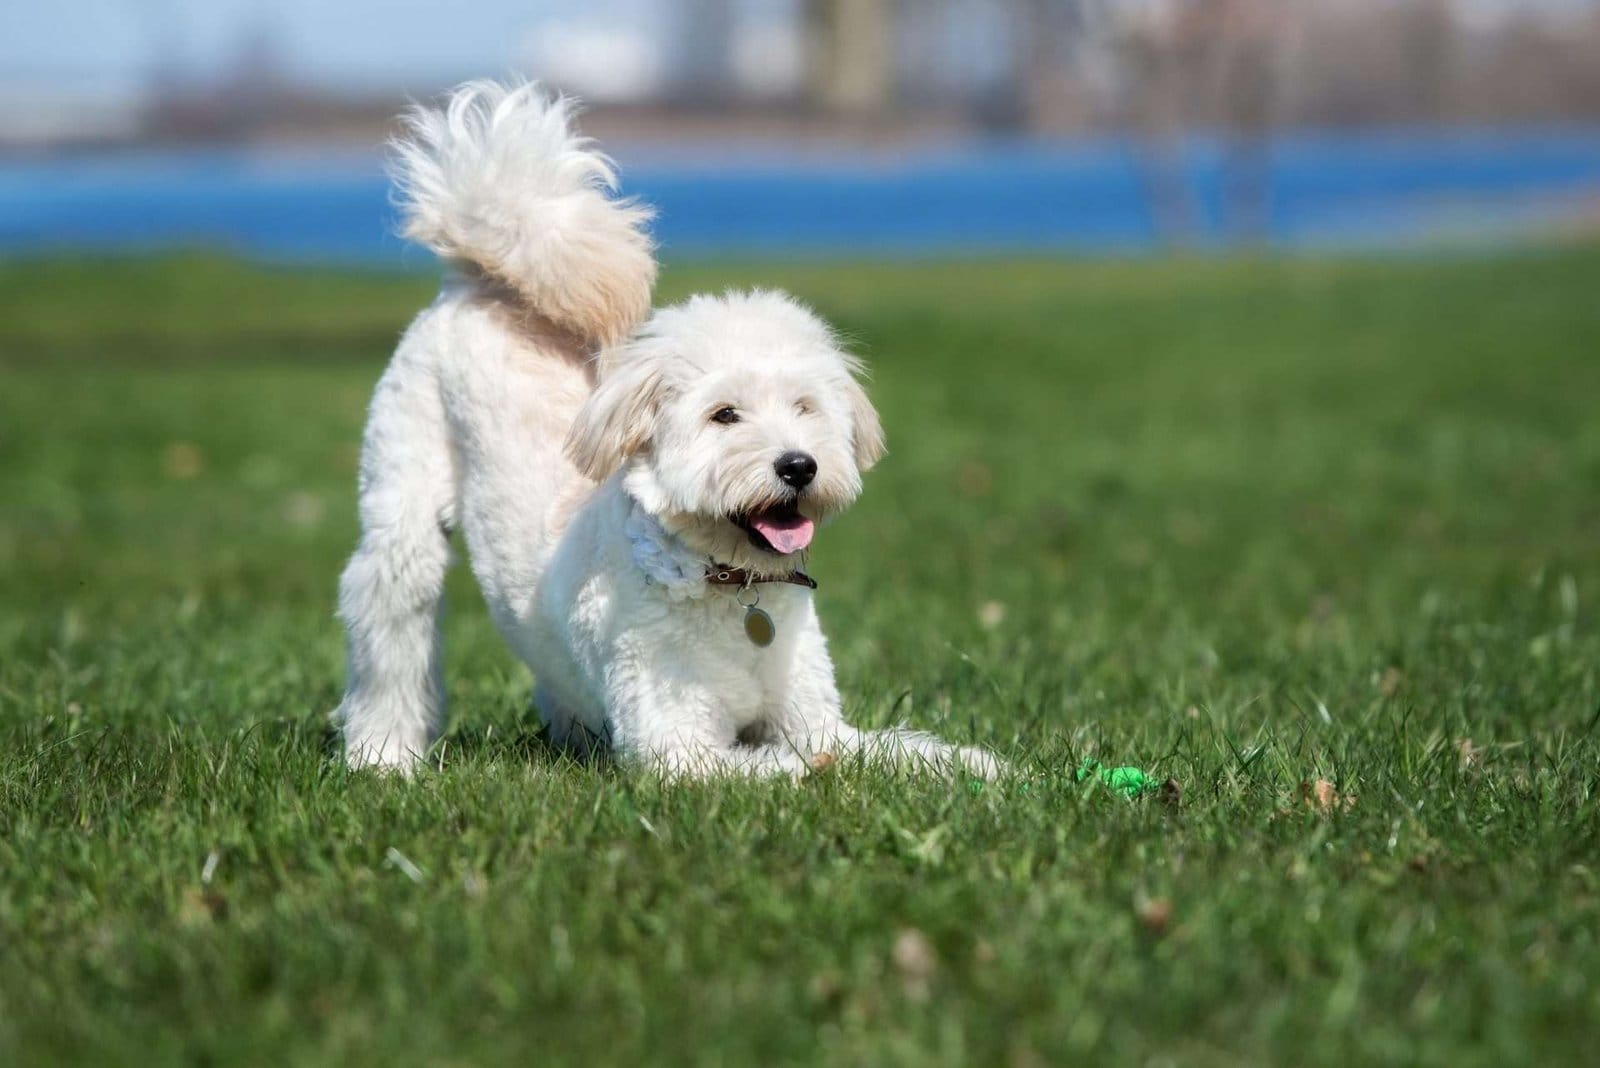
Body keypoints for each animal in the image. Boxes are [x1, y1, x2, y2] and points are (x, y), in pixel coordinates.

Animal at [332, 83, 992, 780]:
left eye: (806, 407)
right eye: (724, 414)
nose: (798, 465)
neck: (731, 585)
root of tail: (476, 283)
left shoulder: (814, 716)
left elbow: (890, 748)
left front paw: (994, 770)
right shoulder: (677, 746)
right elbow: (796, 763)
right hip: (403, 511)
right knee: (390, 628)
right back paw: (382, 755)